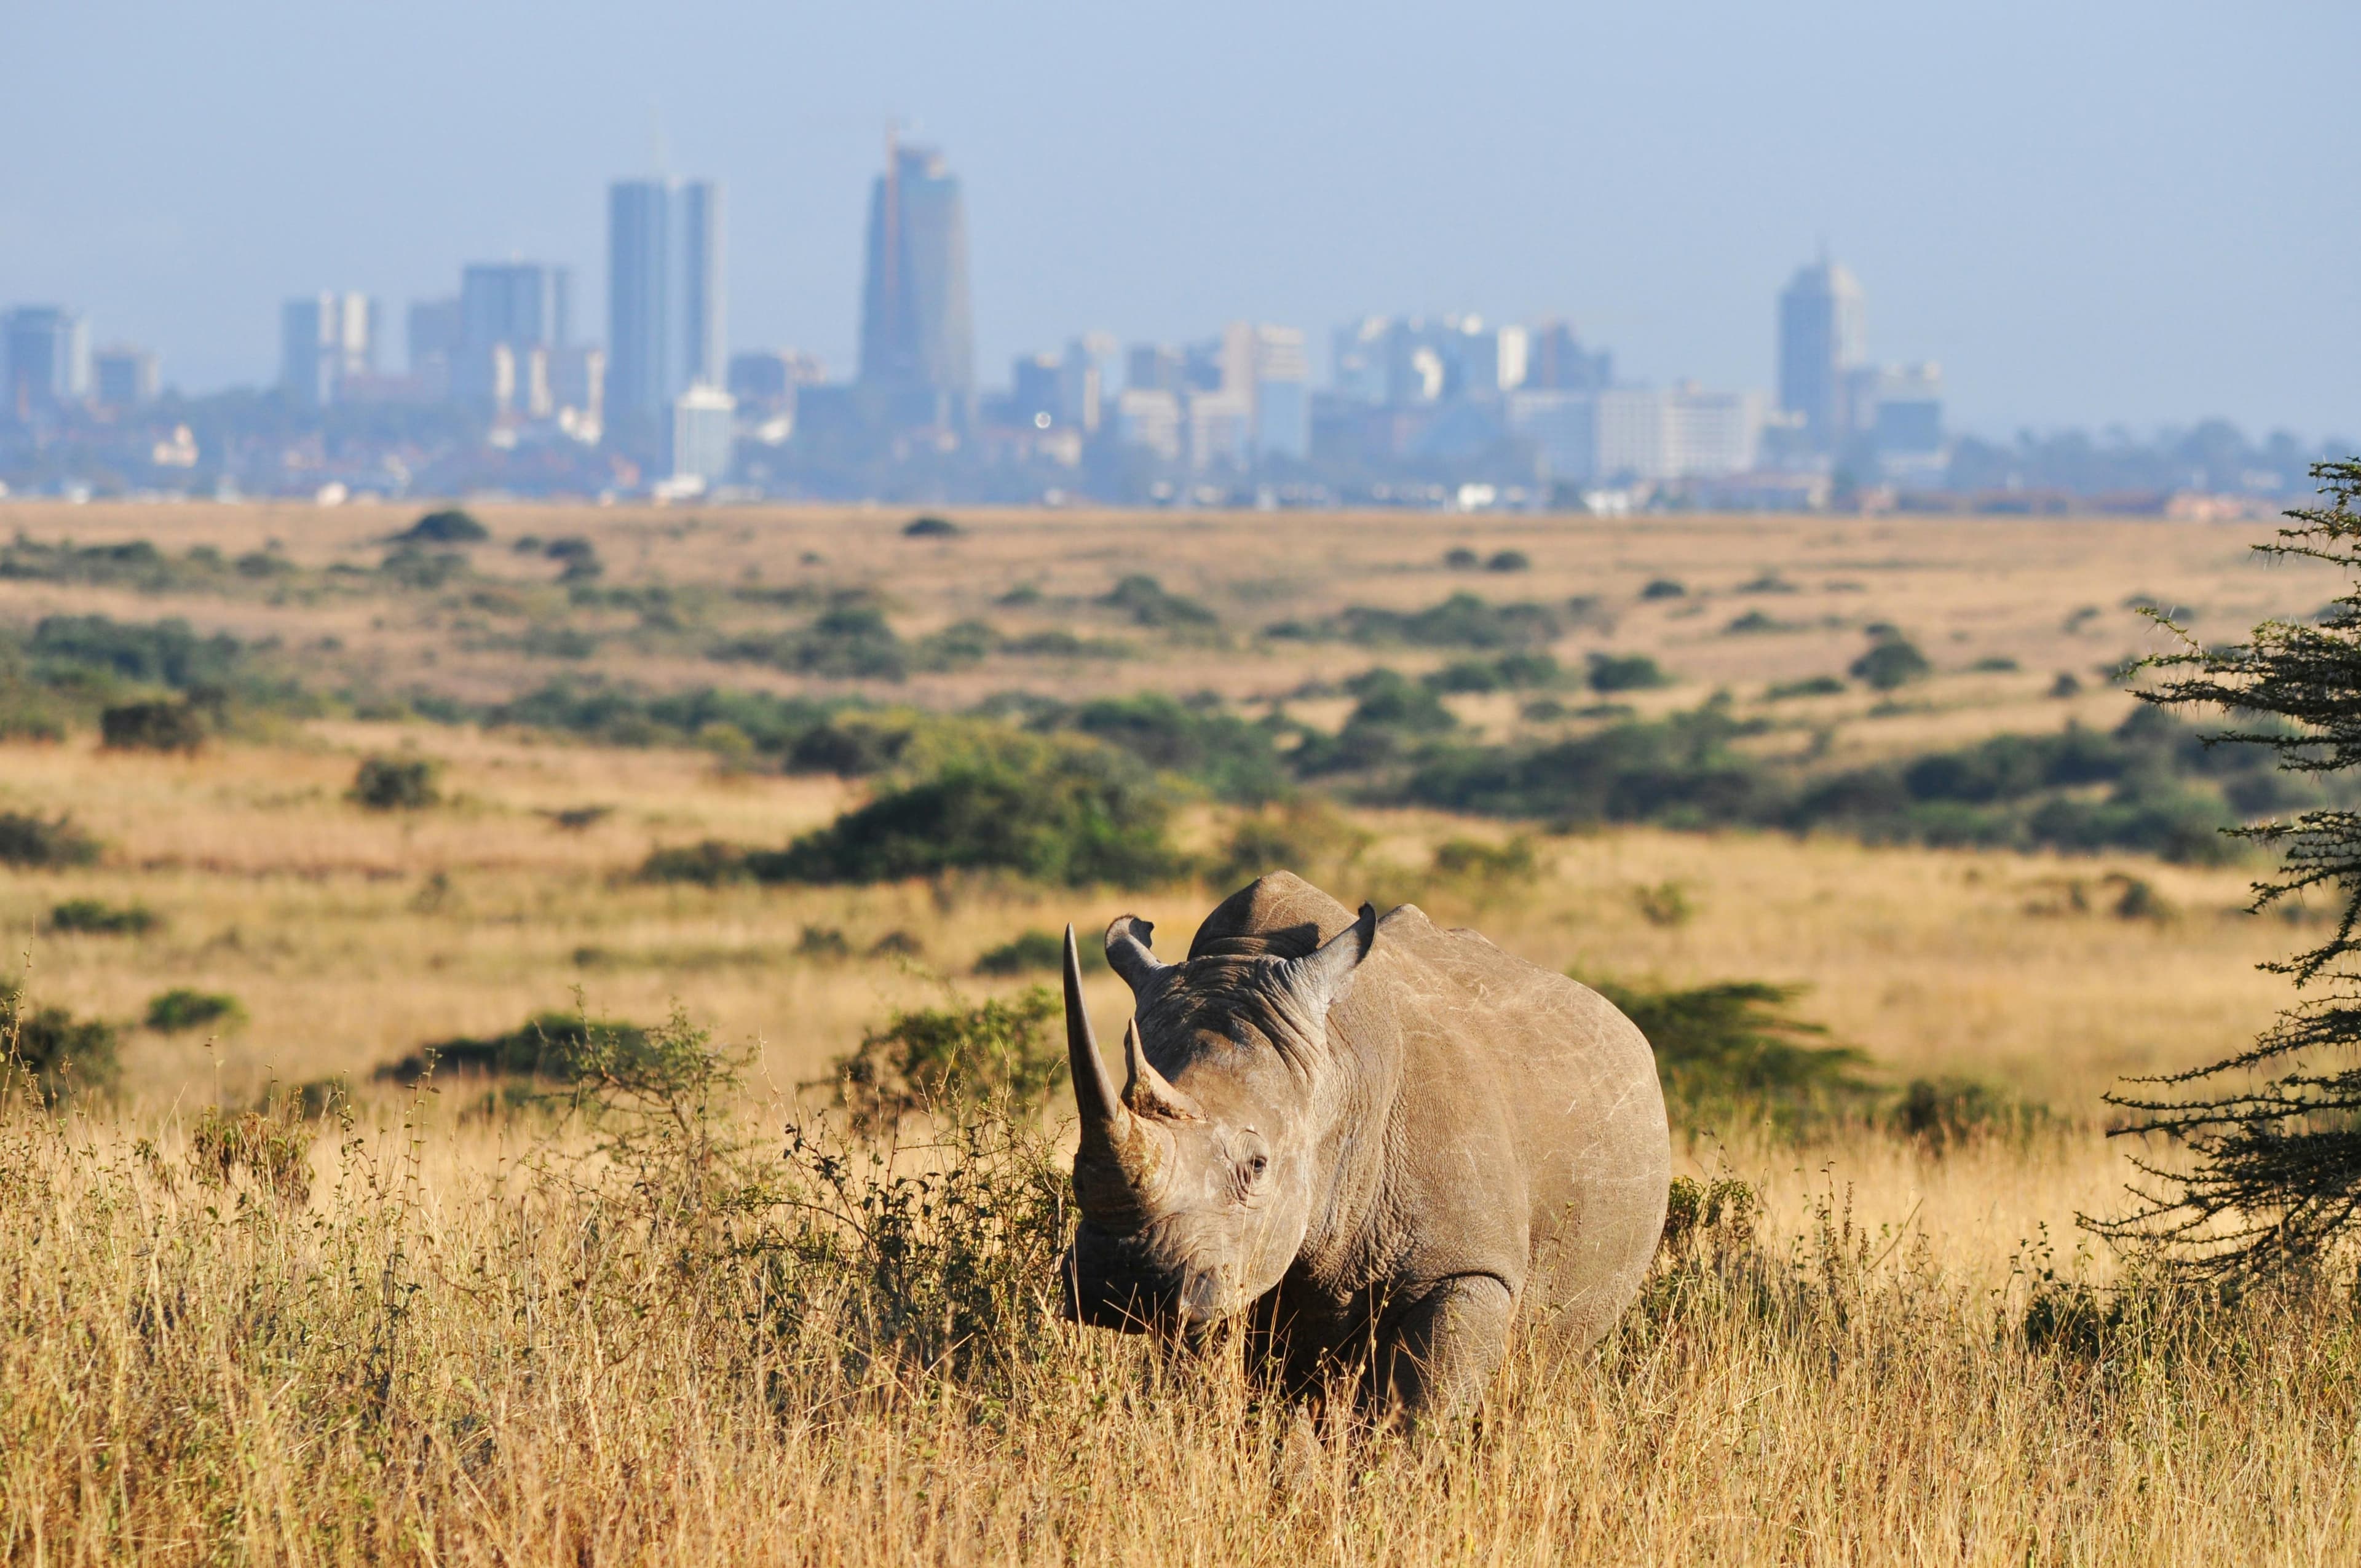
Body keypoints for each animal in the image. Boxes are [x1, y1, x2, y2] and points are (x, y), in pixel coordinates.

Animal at [1058, 871, 1670, 1423]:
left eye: (1258, 1166)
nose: (1123, 1280)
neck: (1335, 1075)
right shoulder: (1222, 1268)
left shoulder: (1467, 1270)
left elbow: (1415, 1416)